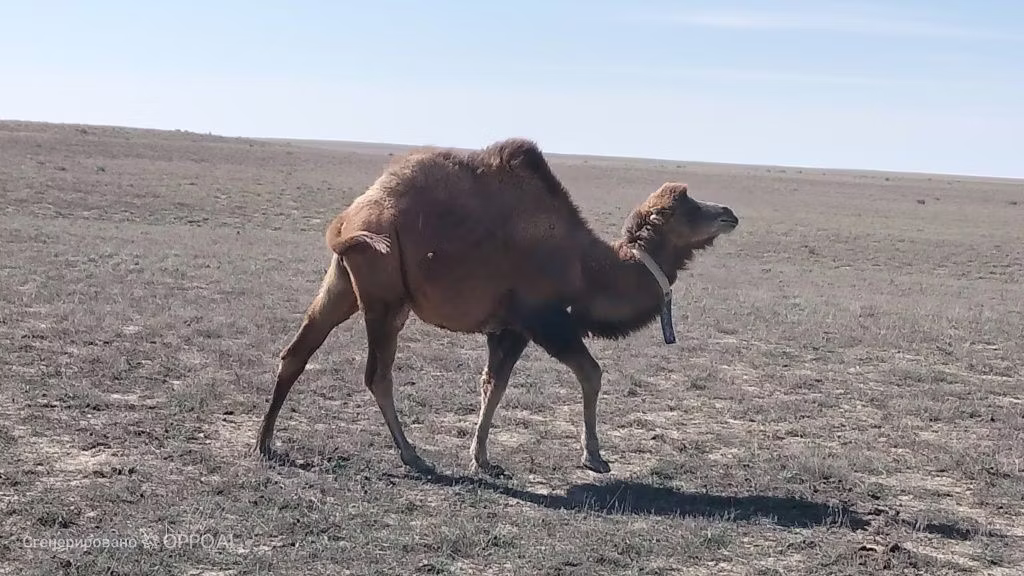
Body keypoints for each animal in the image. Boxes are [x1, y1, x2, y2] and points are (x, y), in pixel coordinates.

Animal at [255, 138, 739, 474]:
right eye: (686, 207)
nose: (730, 213)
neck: (585, 267)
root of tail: (349, 218)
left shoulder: (509, 328)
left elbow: (493, 385)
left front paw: (483, 458)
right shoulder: (544, 319)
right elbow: (591, 373)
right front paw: (594, 457)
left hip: (344, 281)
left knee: (297, 351)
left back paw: (265, 443)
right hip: (385, 294)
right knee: (377, 374)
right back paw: (412, 455)